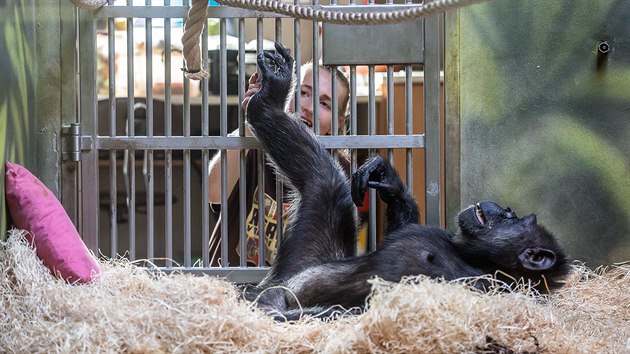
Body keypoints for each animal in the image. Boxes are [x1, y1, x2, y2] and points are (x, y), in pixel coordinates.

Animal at [243, 42, 572, 320]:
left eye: (510, 217)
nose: (499, 208)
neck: (473, 258)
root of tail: (276, 277)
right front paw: (389, 181)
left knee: (325, 184)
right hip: (301, 262)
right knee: (325, 178)